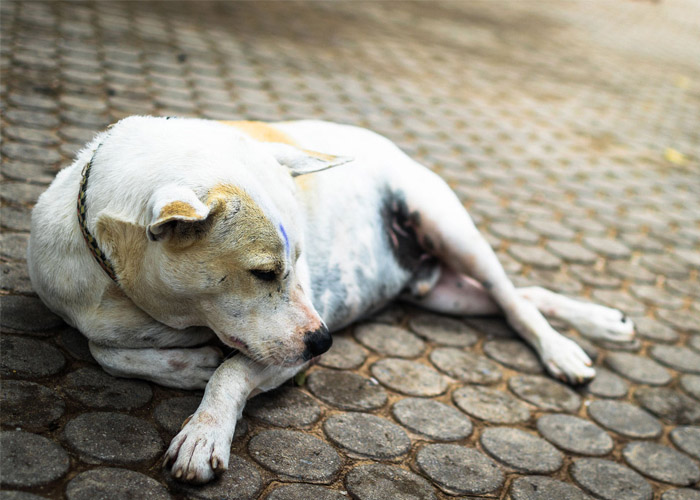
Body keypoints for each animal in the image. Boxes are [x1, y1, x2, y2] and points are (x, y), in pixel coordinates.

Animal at [27, 115, 636, 482]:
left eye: (298, 263)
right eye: (263, 271)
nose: (323, 343)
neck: (127, 293)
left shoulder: (281, 358)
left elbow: (231, 372)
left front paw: (204, 429)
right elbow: (107, 351)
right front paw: (188, 364)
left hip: (449, 227)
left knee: (514, 299)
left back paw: (568, 348)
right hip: (441, 293)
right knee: (514, 297)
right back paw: (599, 321)